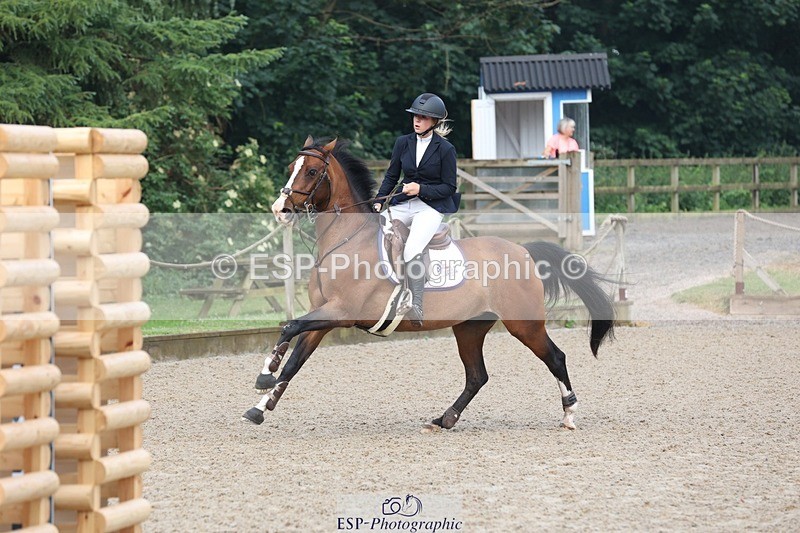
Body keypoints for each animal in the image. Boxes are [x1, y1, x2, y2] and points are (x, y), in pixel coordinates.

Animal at [242, 136, 615, 430]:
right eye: (292, 166)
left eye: (311, 171)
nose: (279, 209)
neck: (347, 240)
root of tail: (522, 250)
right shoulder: (324, 316)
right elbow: (294, 360)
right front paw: (260, 406)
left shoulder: (340, 312)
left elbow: (289, 327)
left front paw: (264, 375)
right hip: (469, 327)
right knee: (477, 375)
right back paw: (445, 419)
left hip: (524, 324)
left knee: (556, 358)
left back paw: (569, 414)